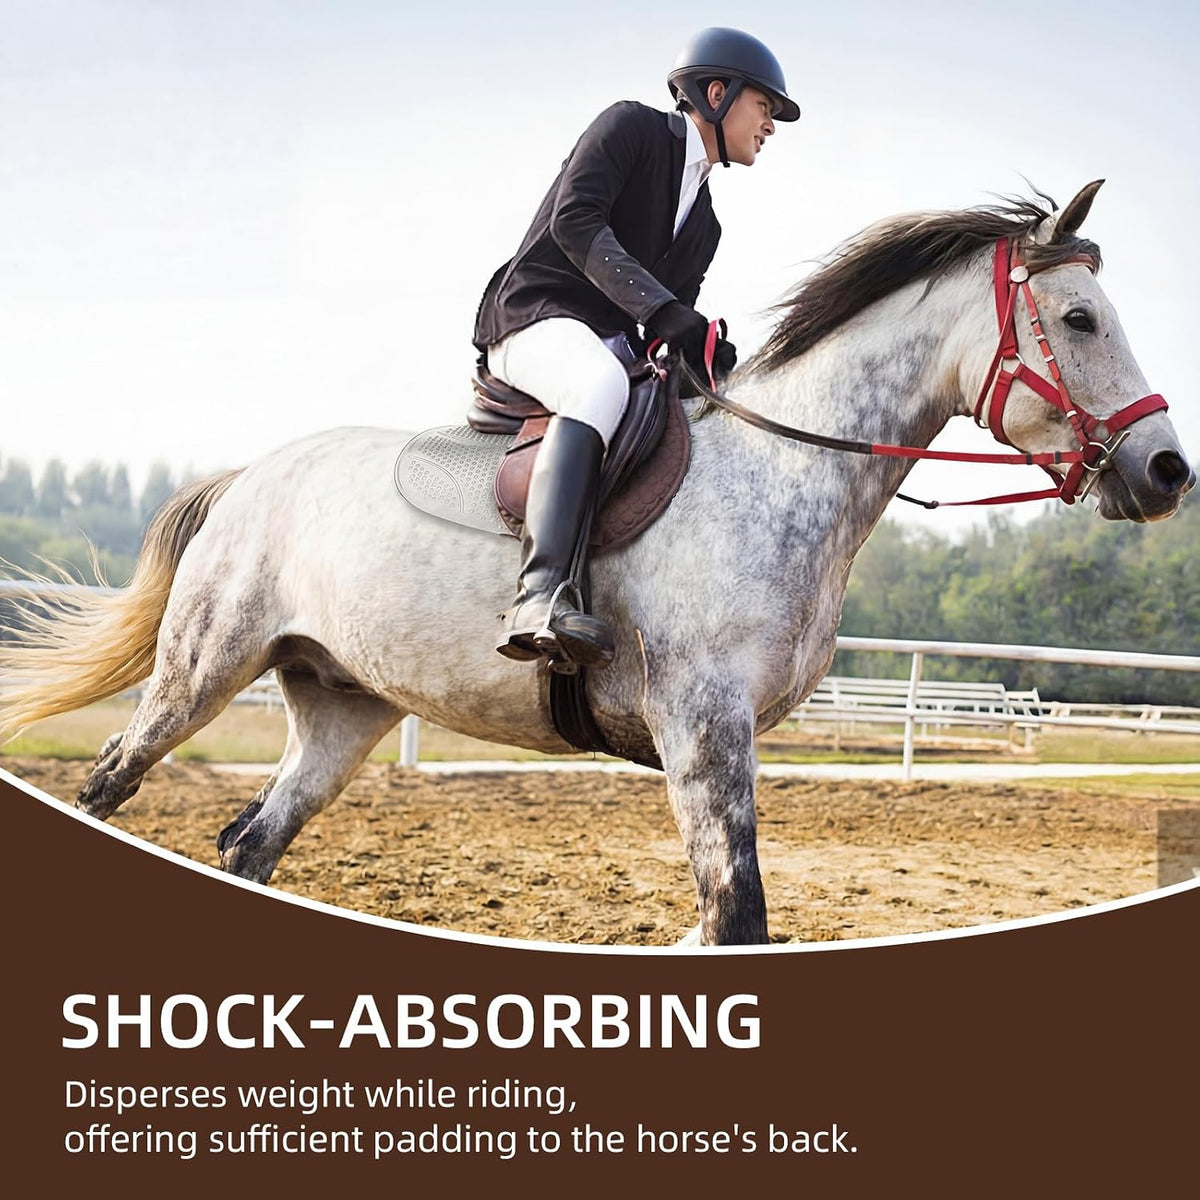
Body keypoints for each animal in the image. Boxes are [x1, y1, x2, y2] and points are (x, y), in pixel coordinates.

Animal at [1, 182, 1192, 945]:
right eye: (1080, 319)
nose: (1167, 468)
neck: (783, 470)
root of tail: (249, 475)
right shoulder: (702, 728)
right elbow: (739, 914)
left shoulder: (719, 740)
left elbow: (720, 923)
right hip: (203, 667)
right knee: (112, 777)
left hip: (344, 707)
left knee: (253, 841)